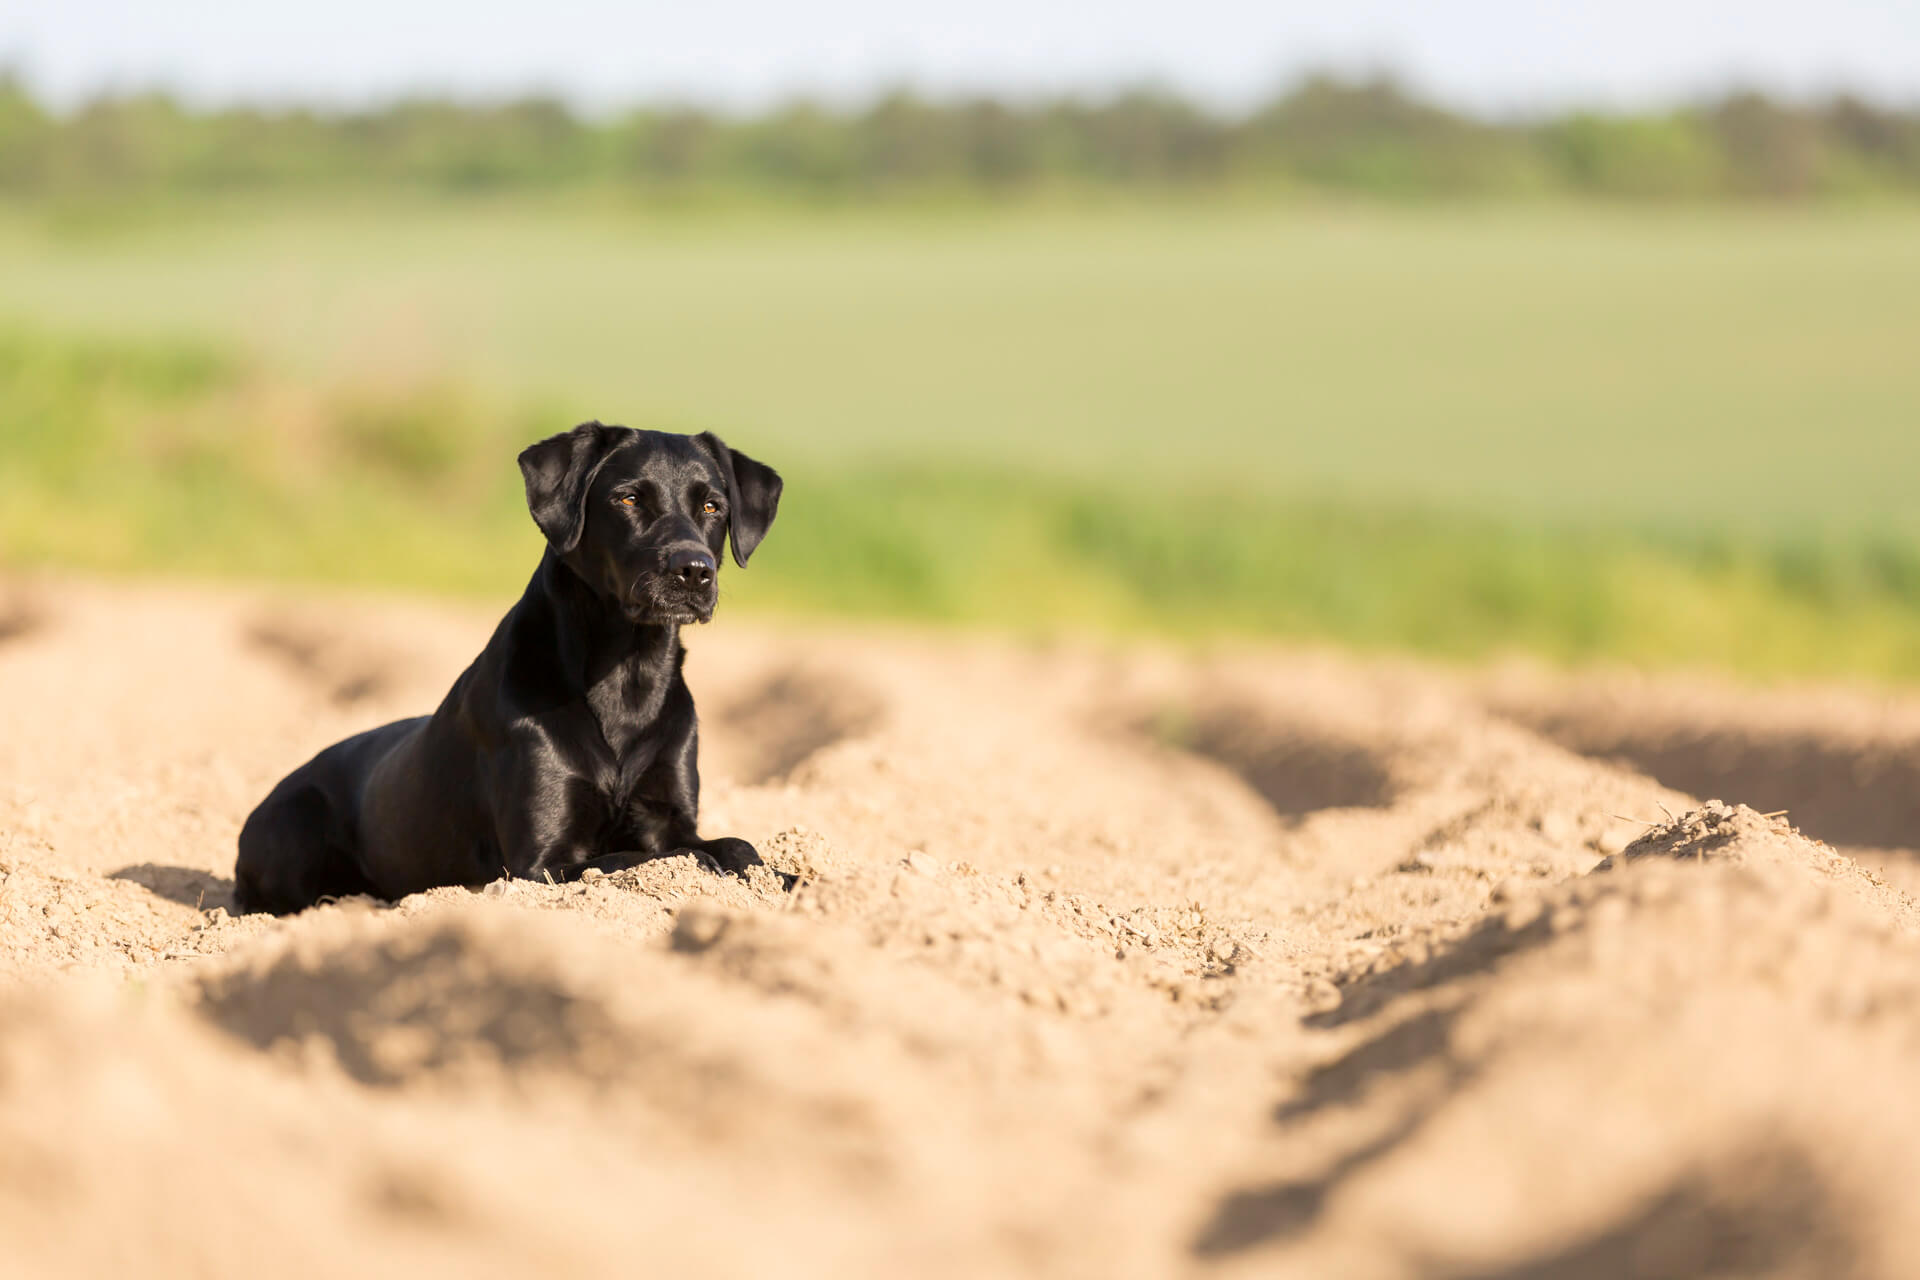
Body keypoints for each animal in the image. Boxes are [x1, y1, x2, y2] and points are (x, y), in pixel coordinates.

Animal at [234, 426, 779, 917]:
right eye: (628, 499)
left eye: (712, 507)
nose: (695, 570)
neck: (629, 676)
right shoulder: (539, 864)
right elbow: (653, 857)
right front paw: (711, 869)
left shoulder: (668, 815)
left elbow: (736, 847)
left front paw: (780, 881)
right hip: (296, 827)